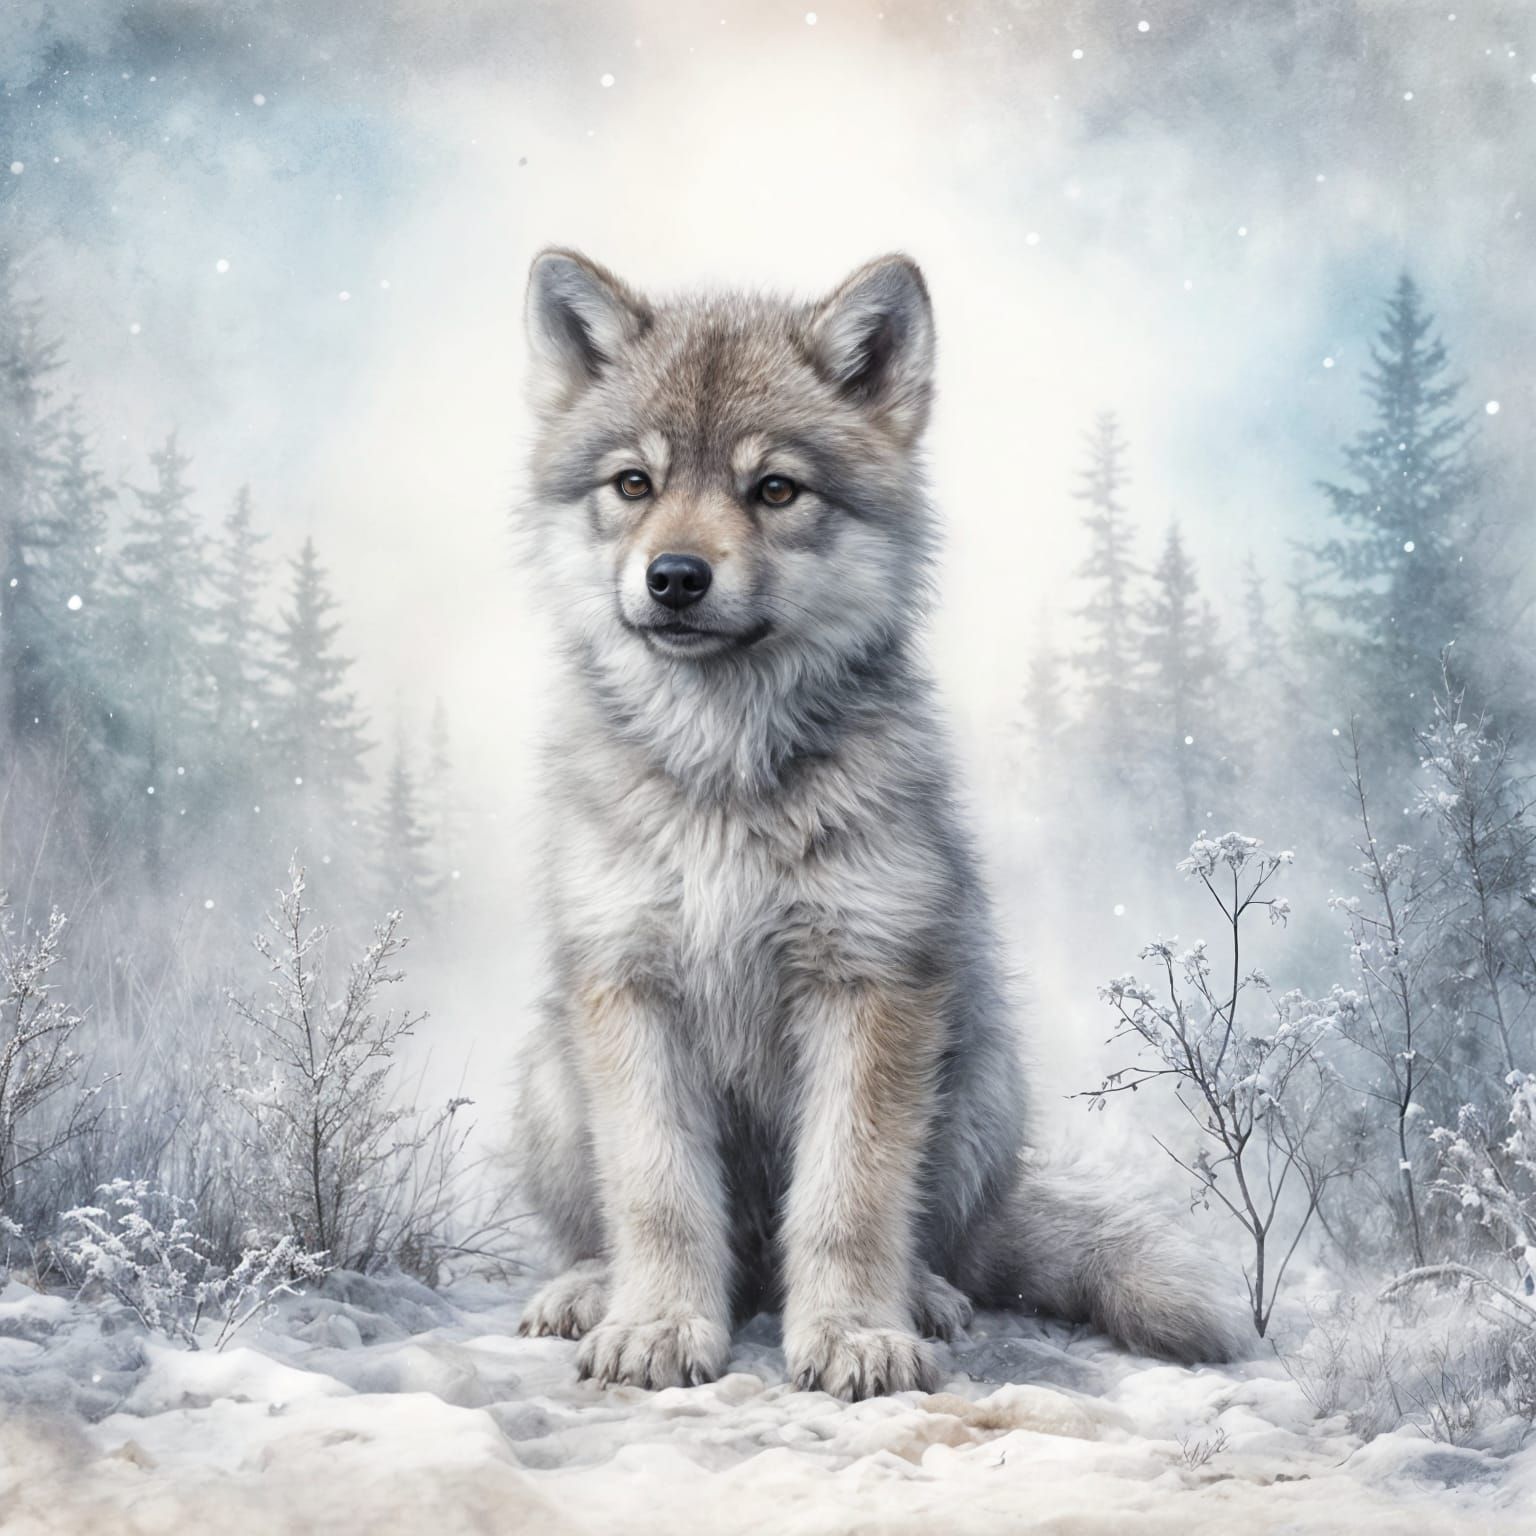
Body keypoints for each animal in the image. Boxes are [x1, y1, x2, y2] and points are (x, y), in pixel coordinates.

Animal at [511, 248, 1244, 1400]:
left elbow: (849, 1198)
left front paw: (856, 1333)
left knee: (952, 1246)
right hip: (551, 1068)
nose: (675, 578)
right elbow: (659, 1196)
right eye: (634, 484)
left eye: (775, 489)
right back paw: (590, 1288)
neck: (724, 784)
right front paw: (660, 1325)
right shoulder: (629, 992)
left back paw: (930, 1296)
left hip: (980, 1075)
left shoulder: (872, 987)